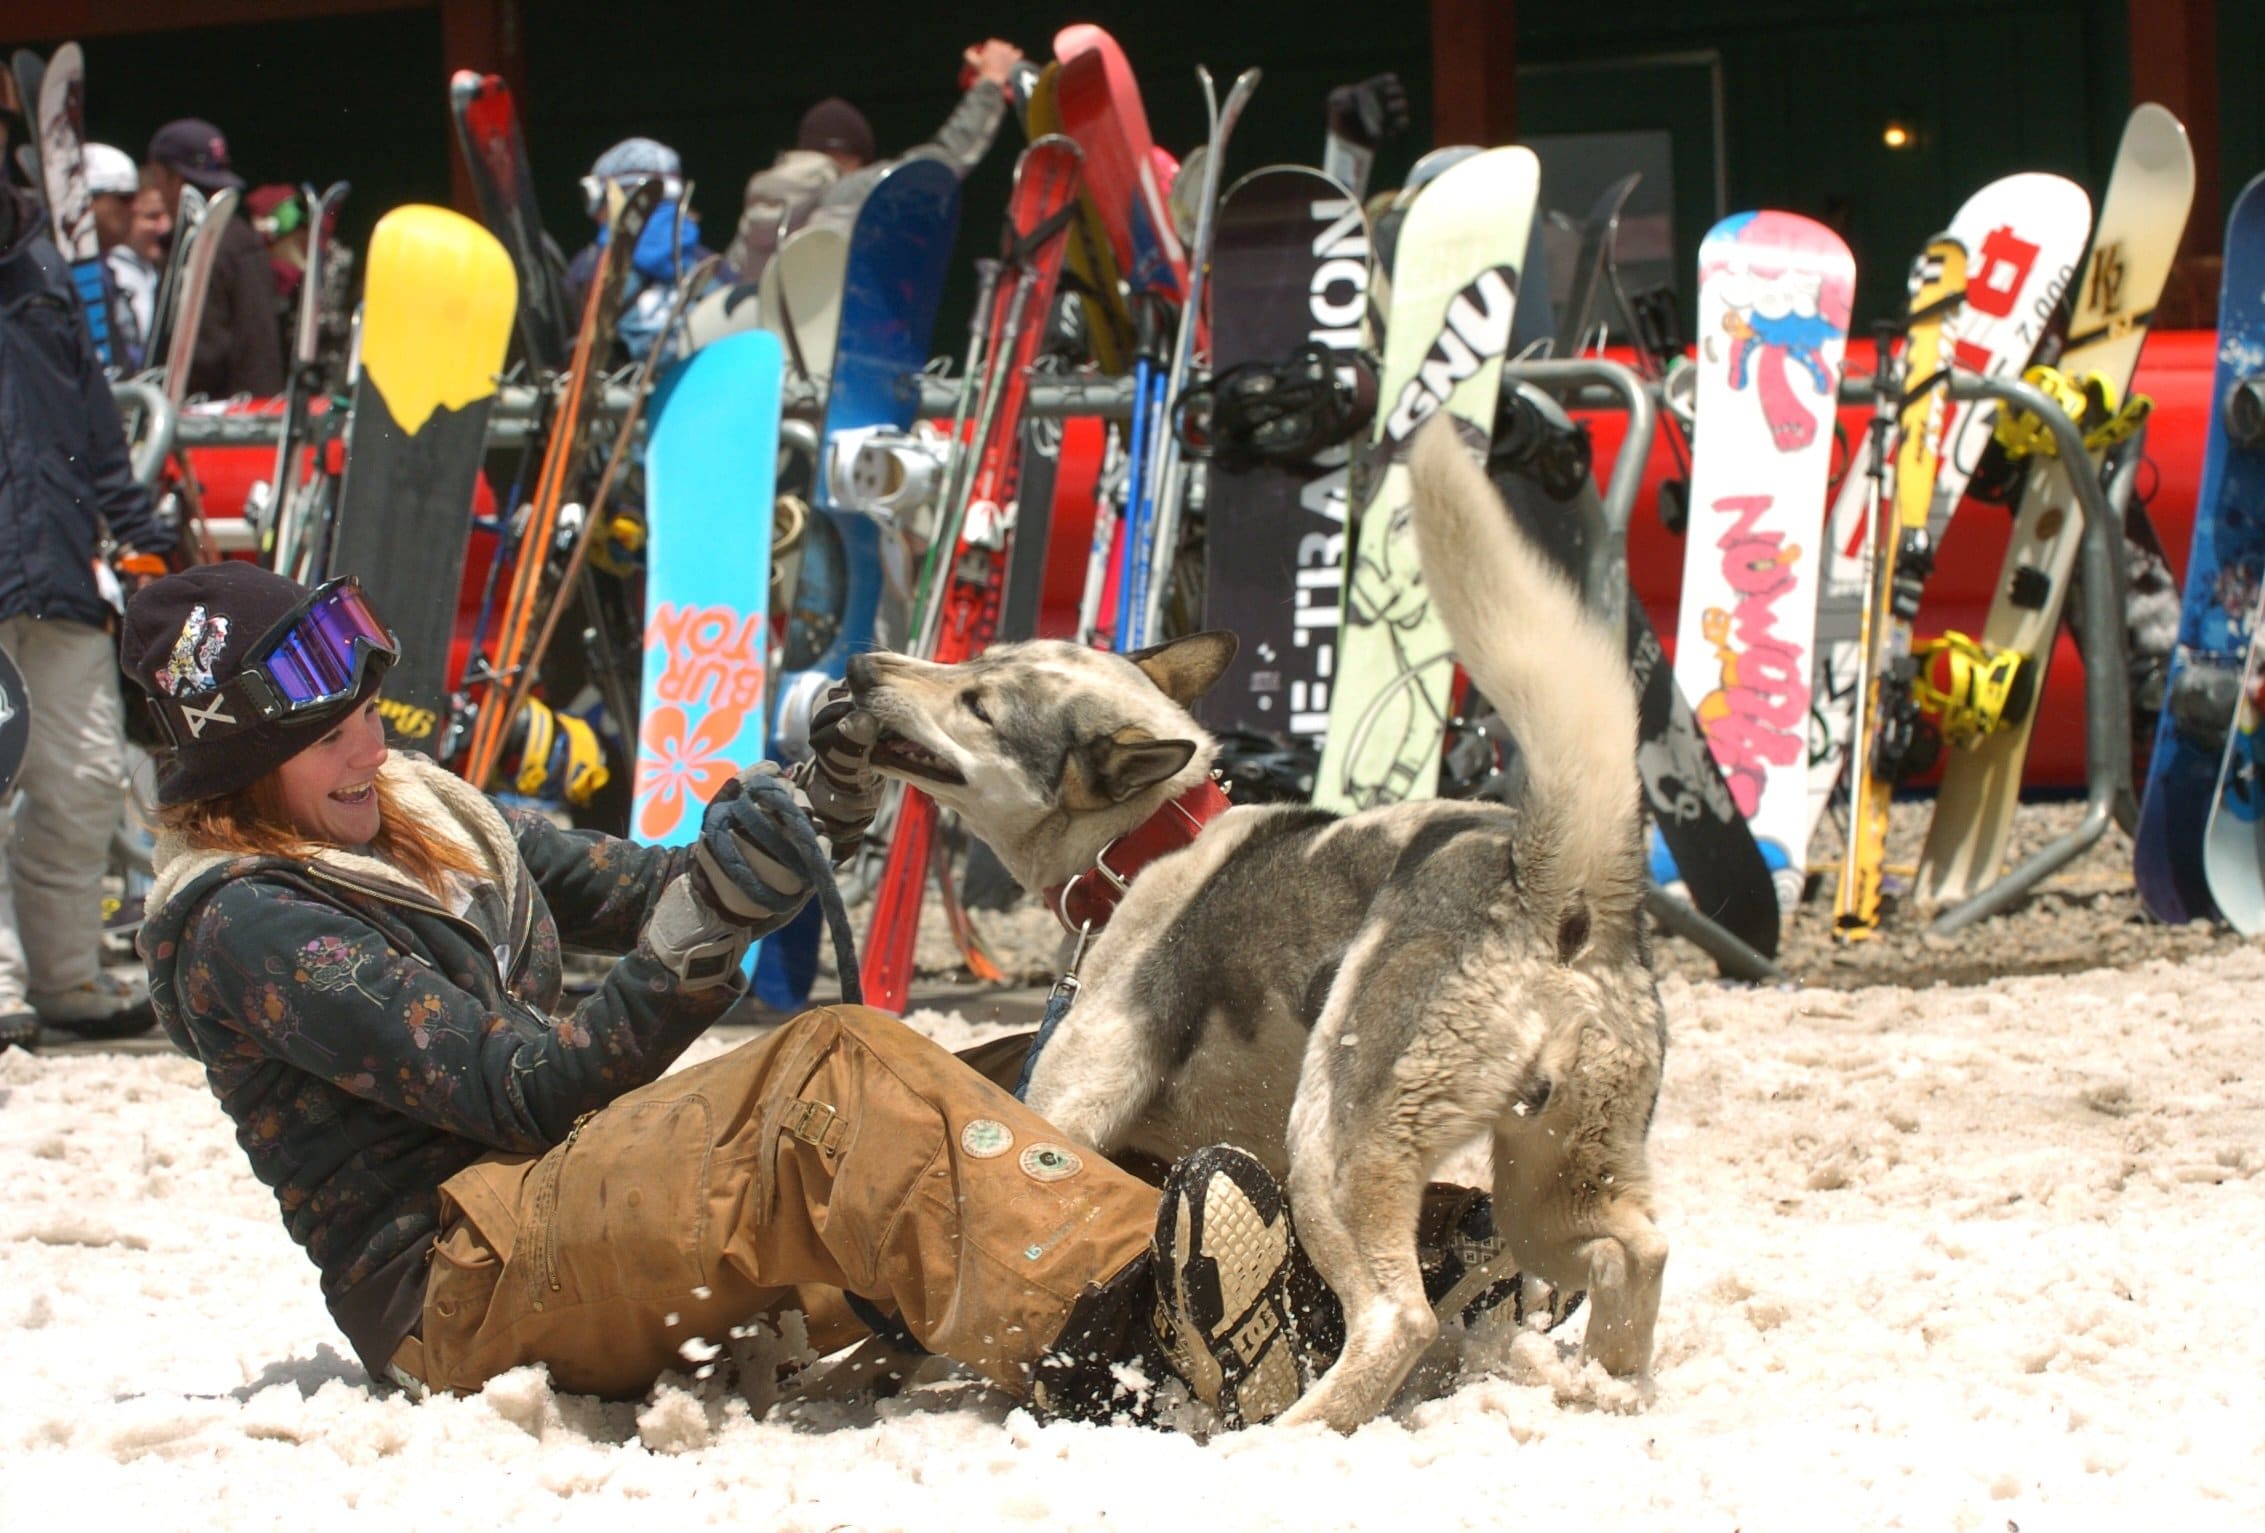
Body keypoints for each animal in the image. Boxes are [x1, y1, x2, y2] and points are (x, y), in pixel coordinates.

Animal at [851, 412, 1667, 1431]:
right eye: (975, 661)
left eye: (978, 703)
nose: (860, 667)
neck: (1151, 838)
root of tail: (1546, 879)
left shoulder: (1063, 1111)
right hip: (1547, 1186)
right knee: (1632, 1252)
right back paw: (1605, 1385)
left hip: (1335, 1151)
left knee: (1398, 1317)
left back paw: (1286, 1435)